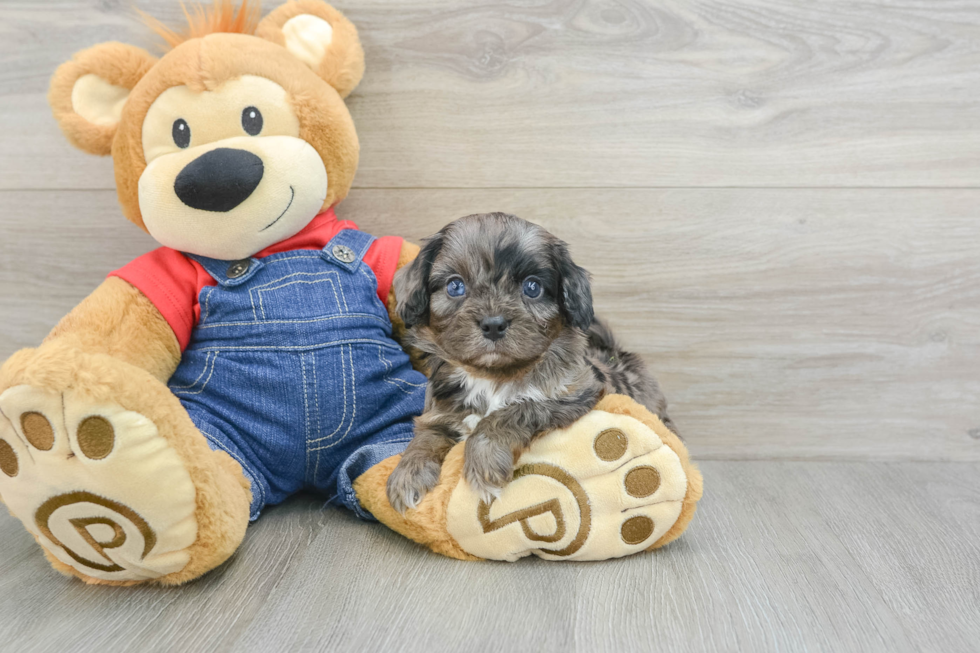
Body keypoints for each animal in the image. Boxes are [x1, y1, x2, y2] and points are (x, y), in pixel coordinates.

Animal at [382, 211, 672, 512]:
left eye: (532, 287)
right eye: (455, 286)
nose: (493, 324)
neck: (491, 377)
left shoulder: (575, 394)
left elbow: (514, 409)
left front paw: (484, 459)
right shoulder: (440, 412)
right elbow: (426, 435)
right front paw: (408, 474)